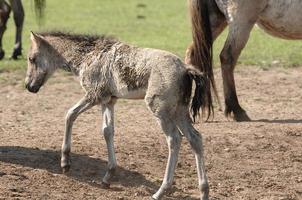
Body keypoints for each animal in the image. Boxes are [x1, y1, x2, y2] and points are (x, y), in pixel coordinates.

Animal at [24, 31, 212, 200]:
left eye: (32, 58)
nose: (28, 86)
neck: (88, 56)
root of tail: (185, 69)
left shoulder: (94, 96)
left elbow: (70, 114)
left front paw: (65, 163)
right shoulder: (108, 101)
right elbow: (108, 131)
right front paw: (108, 176)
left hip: (162, 111)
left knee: (174, 139)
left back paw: (160, 192)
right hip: (180, 110)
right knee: (195, 138)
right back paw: (203, 191)